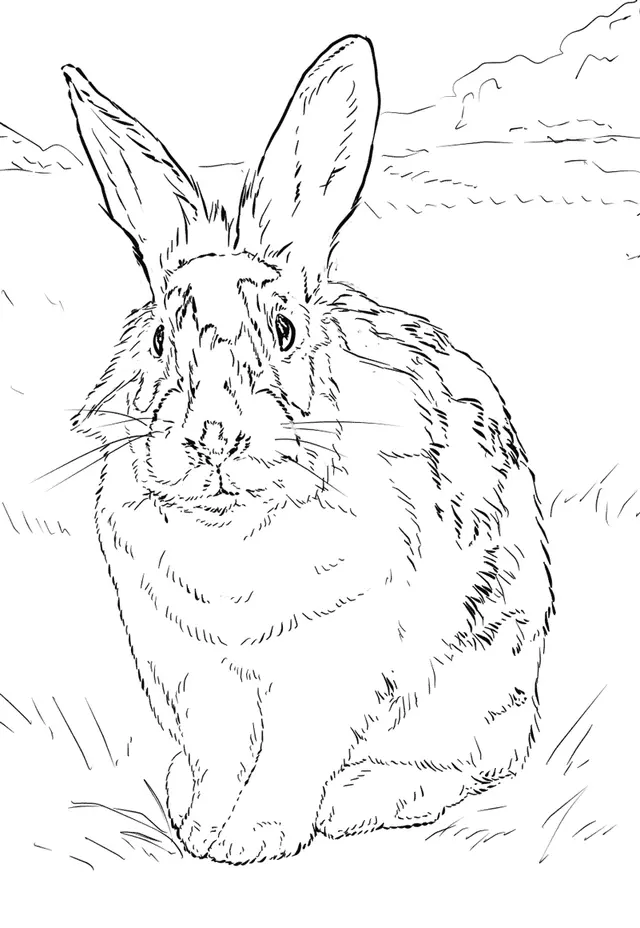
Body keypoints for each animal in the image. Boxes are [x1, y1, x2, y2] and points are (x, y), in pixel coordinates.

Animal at [63, 34, 553, 864]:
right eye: (160, 339)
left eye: (285, 330)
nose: (212, 437)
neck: (233, 529)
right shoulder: (194, 669)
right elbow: (222, 754)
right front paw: (205, 831)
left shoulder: (333, 660)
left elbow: (290, 756)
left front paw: (253, 839)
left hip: (477, 687)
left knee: (465, 766)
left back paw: (357, 803)